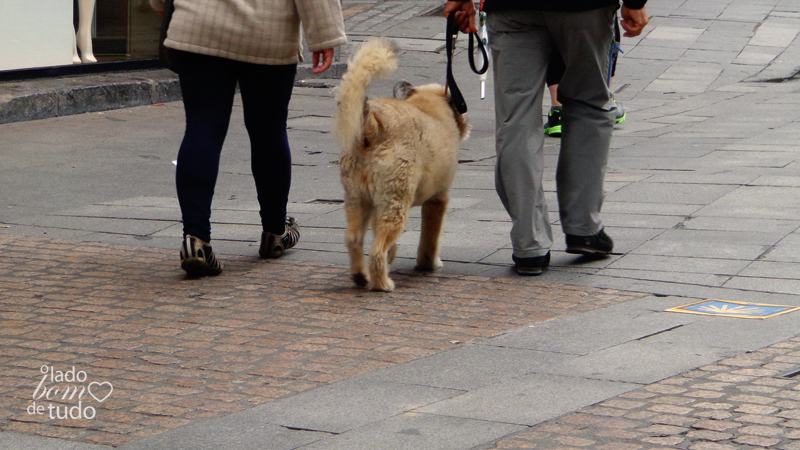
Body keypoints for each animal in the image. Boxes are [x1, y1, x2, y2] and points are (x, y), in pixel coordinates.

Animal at [336, 39, 472, 292]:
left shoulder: (377, 205)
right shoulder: (438, 200)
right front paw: (428, 264)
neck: (429, 105)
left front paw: (394, 254)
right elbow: (429, 237)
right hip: (396, 203)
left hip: (358, 199)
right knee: (377, 250)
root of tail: (372, 127)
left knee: (355, 239)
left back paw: (361, 276)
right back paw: (382, 283)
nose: (468, 124)